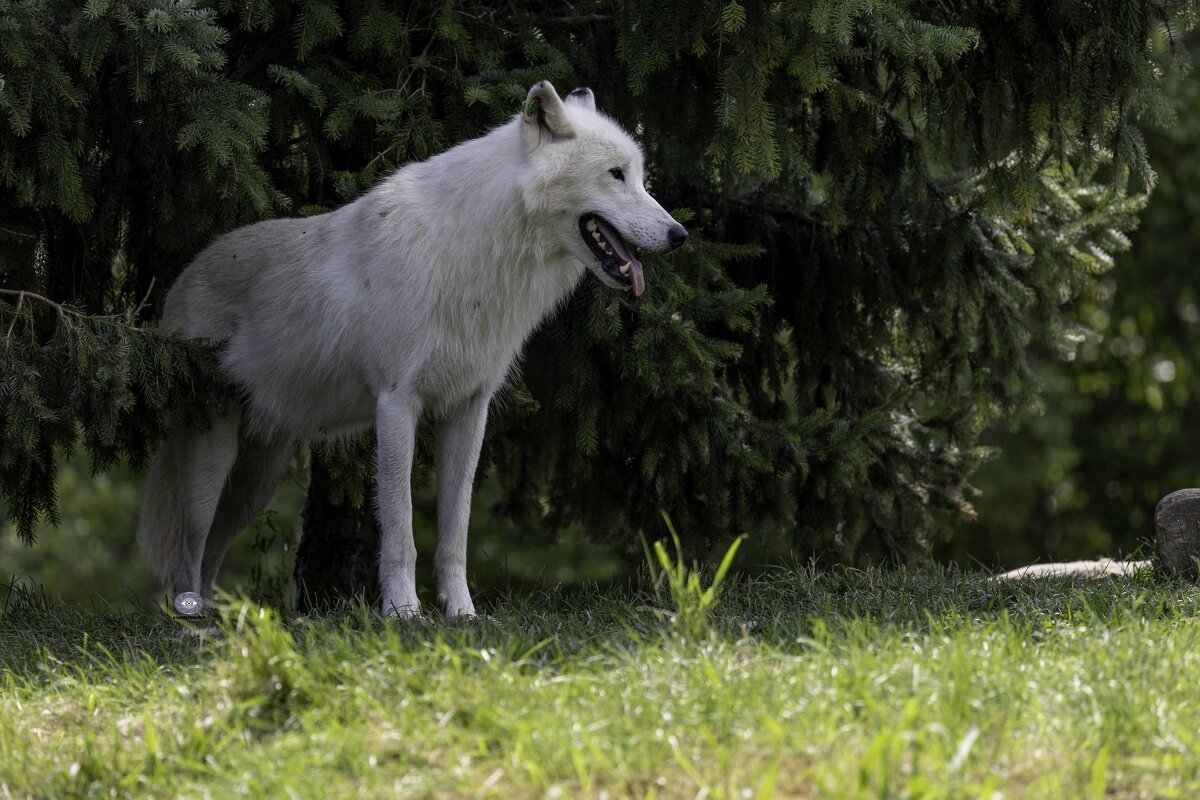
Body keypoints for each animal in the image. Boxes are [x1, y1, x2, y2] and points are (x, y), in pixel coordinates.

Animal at [137, 81, 691, 618]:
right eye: (616, 175)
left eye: (641, 177)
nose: (680, 234)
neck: (480, 254)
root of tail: (176, 289)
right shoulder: (397, 402)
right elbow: (401, 526)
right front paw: (403, 613)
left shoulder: (469, 409)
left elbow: (455, 529)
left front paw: (461, 614)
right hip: (211, 464)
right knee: (187, 553)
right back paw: (193, 625)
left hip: (257, 479)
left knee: (209, 555)